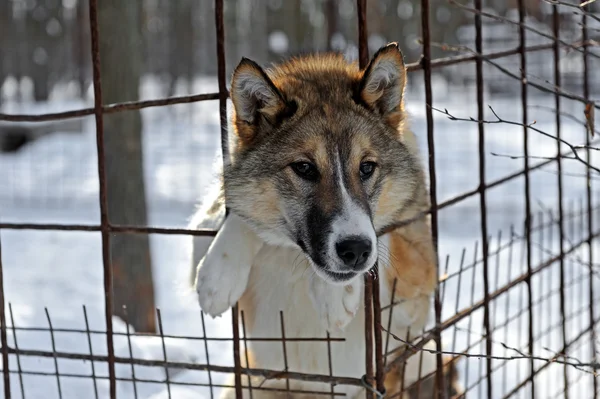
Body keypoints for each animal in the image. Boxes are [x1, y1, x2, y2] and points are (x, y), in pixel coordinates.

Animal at [190, 42, 462, 398]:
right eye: (304, 168)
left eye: (366, 167)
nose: (355, 251)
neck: (296, 257)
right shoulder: (199, 231)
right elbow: (230, 214)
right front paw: (218, 275)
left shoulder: (418, 285)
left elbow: (383, 236)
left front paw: (335, 294)